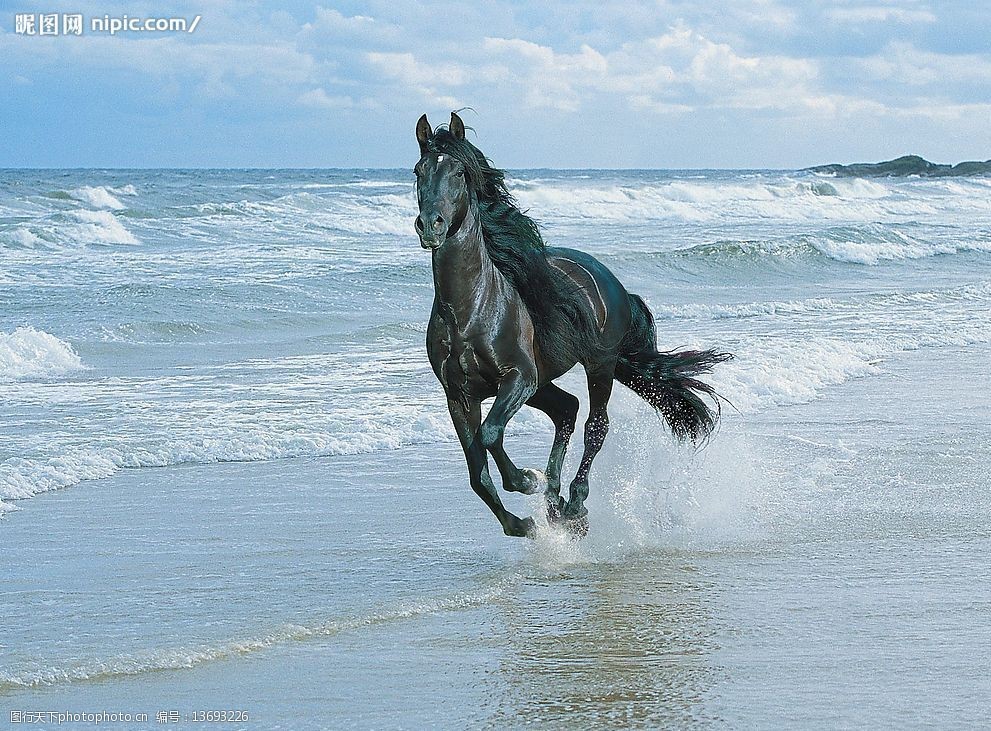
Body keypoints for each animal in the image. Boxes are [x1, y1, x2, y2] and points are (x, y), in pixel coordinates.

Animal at [414, 113, 732, 536]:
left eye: (459, 172)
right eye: (419, 171)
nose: (430, 225)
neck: (470, 311)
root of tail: (611, 281)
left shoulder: (518, 377)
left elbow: (491, 434)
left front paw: (526, 480)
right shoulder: (459, 396)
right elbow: (477, 473)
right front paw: (522, 523)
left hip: (598, 366)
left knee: (595, 426)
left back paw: (574, 503)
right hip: (544, 382)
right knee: (567, 409)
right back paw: (555, 502)